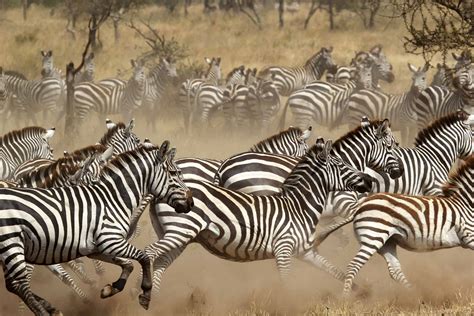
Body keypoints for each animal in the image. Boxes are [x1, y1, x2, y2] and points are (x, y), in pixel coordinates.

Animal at [0, 143, 193, 314]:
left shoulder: (97, 248)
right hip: (12, 244)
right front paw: (145, 294)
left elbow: (128, 264)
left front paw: (110, 289)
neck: (112, 199)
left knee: (13, 285)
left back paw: (50, 308)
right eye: (174, 173)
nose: (191, 203)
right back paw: (44, 311)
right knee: (19, 283)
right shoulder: (111, 241)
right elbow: (143, 257)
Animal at [144, 138, 374, 296]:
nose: (369, 180)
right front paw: (287, 304)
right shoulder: (284, 249)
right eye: (342, 165)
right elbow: (286, 282)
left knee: (160, 262)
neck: (299, 206)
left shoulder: (306, 251)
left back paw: (155, 299)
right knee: (149, 253)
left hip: (179, 236)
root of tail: (158, 192)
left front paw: (362, 292)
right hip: (180, 231)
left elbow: (335, 270)